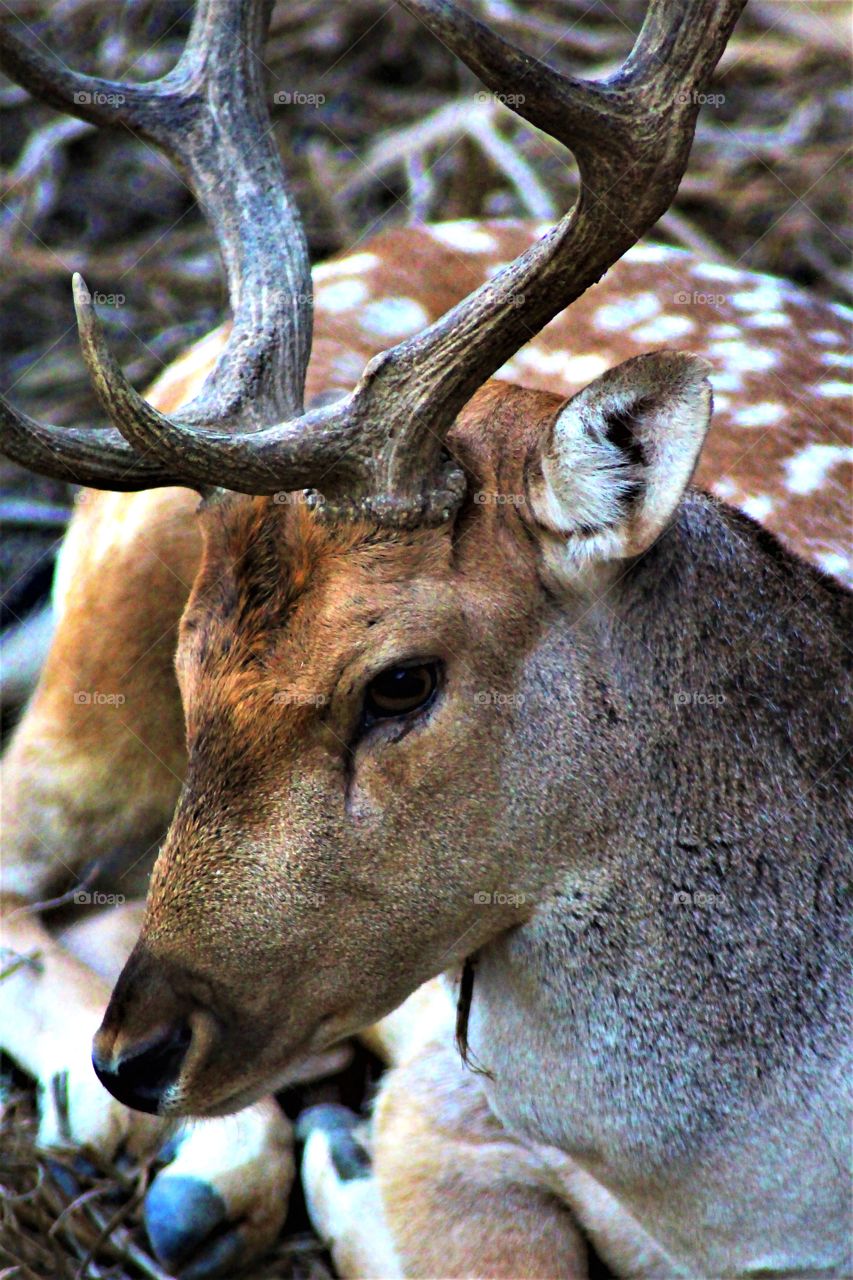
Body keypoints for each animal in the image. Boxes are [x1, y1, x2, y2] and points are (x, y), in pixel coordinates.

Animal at [1, 0, 851, 1276]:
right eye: (191, 662)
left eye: (400, 682)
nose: (139, 1050)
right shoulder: (452, 1107)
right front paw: (343, 1169)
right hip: (106, 632)